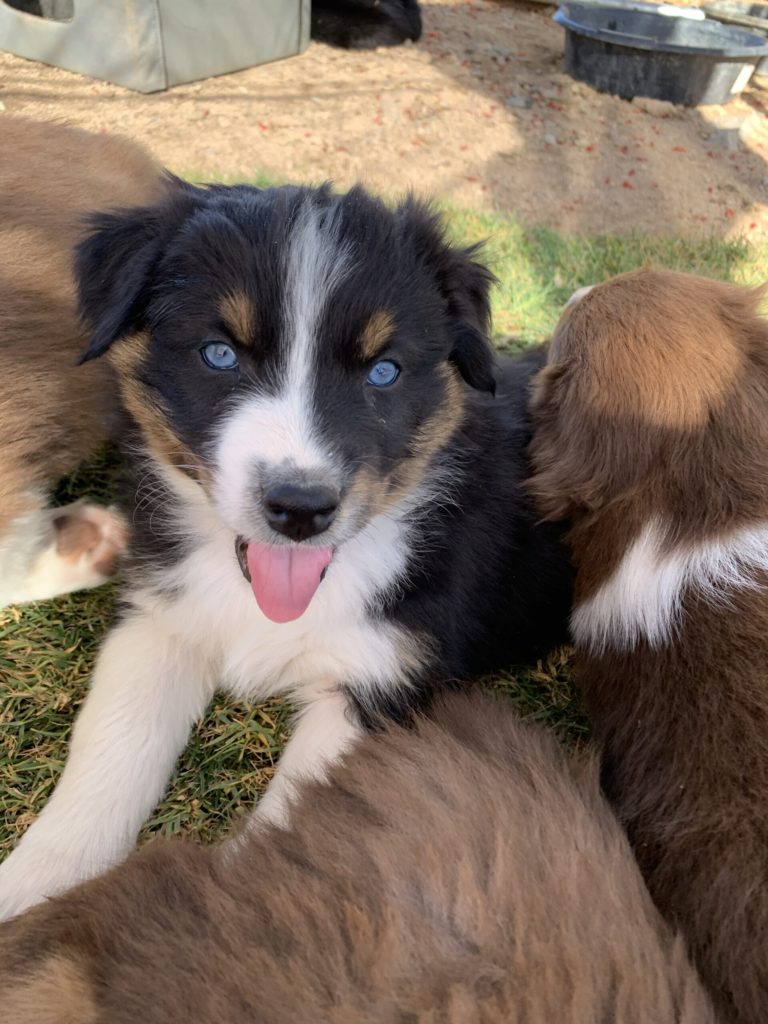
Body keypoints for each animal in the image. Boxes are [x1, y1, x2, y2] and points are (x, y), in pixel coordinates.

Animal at [0, 182, 573, 921]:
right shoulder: (162, 618)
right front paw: (31, 890)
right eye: (220, 354)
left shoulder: (380, 679)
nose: (302, 509)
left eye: (384, 371)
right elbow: (111, 749)